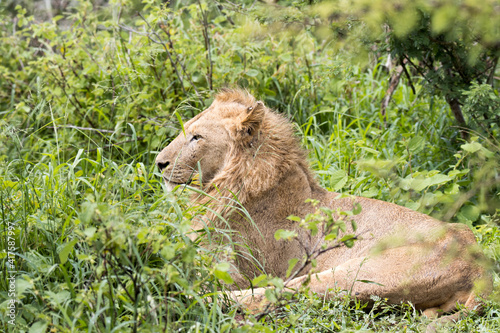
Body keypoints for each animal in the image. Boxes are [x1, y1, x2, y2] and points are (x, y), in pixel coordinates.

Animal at [156, 87, 492, 326]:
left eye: (196, 137)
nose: (159, 163)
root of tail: (480, 266)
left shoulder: (244, 264)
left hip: (356, 272)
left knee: (268, 295)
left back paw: (183, 295)